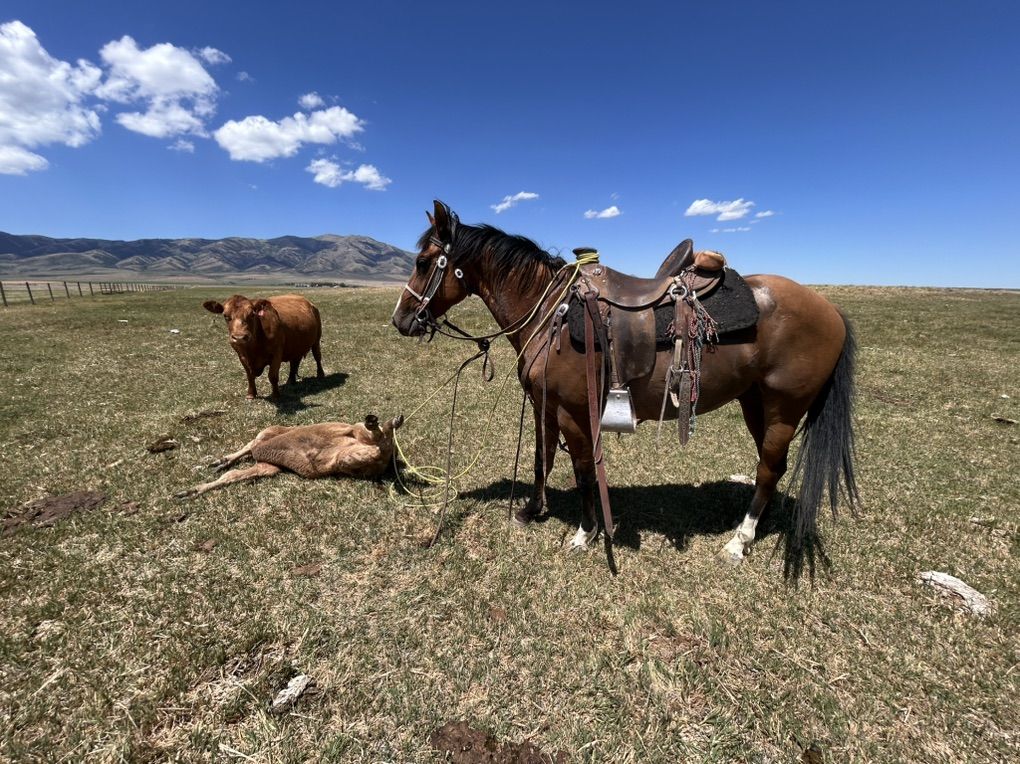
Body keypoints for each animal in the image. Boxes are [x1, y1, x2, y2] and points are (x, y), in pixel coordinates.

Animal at [391, 200, 857, 568]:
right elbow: (543, 458)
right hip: (755, 402)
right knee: (772, 467)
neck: (550, 312)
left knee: (768, 467)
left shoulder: (574, 412)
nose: (400, 320)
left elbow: (583, 470)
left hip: (784, 407)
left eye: (421, 263)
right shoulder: (545, 405)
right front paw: (532, 510)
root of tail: (830, 309)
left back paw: (739, 541)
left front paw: (585, 532)